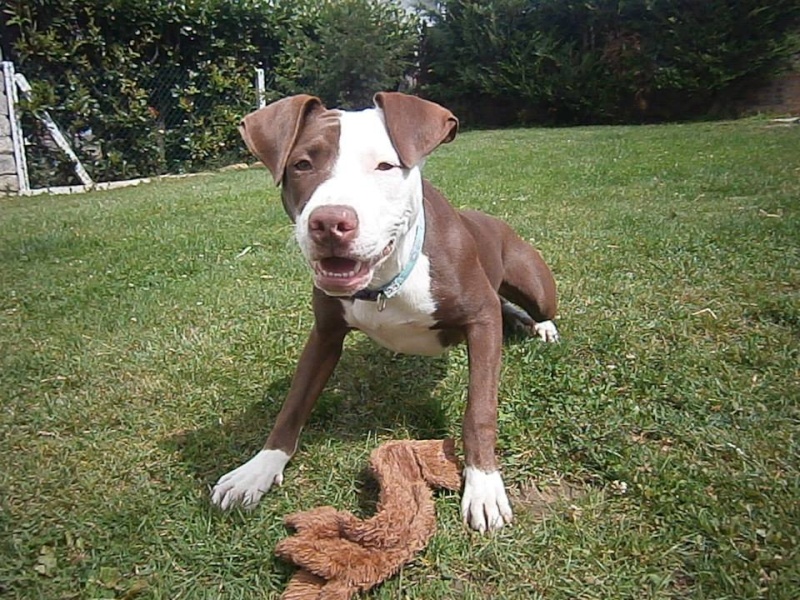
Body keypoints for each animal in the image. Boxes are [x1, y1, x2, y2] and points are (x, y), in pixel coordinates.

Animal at [211, 91, 556, 532]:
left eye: (385, 166)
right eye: (302, 164)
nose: (330, 222)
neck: (389, 278)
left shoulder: (481, 319)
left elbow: (479, 409)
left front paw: (483, 486)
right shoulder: (324, 335)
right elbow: (293, 404)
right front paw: (258, 469)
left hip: (535, 284)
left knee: (533, 306)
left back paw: (542, 327)